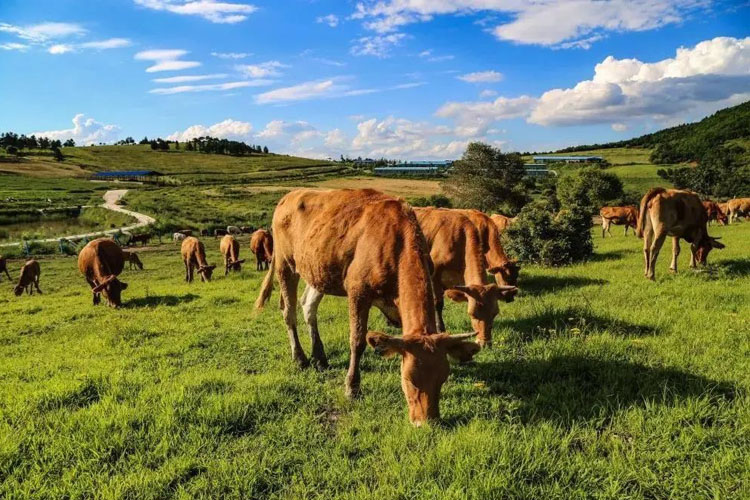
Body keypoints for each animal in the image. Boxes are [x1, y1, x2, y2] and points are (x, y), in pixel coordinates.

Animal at [258, 188, 482, 426]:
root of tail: (289, 195)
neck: (396, 242)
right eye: (408, 379)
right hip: (285, 265)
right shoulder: (358, 292)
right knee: (288, 312)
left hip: (317, 270)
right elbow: (357, 341)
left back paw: (319, 357)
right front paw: (352, 387)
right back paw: (300, 358)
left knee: (308, 307)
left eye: (443, 377)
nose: (427, 422)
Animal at [414, 207, 520, 348]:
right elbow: (438, 304)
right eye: (472, 314)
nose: (484, 343)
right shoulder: (435, 274)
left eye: (494, 314)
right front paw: (440, 328)